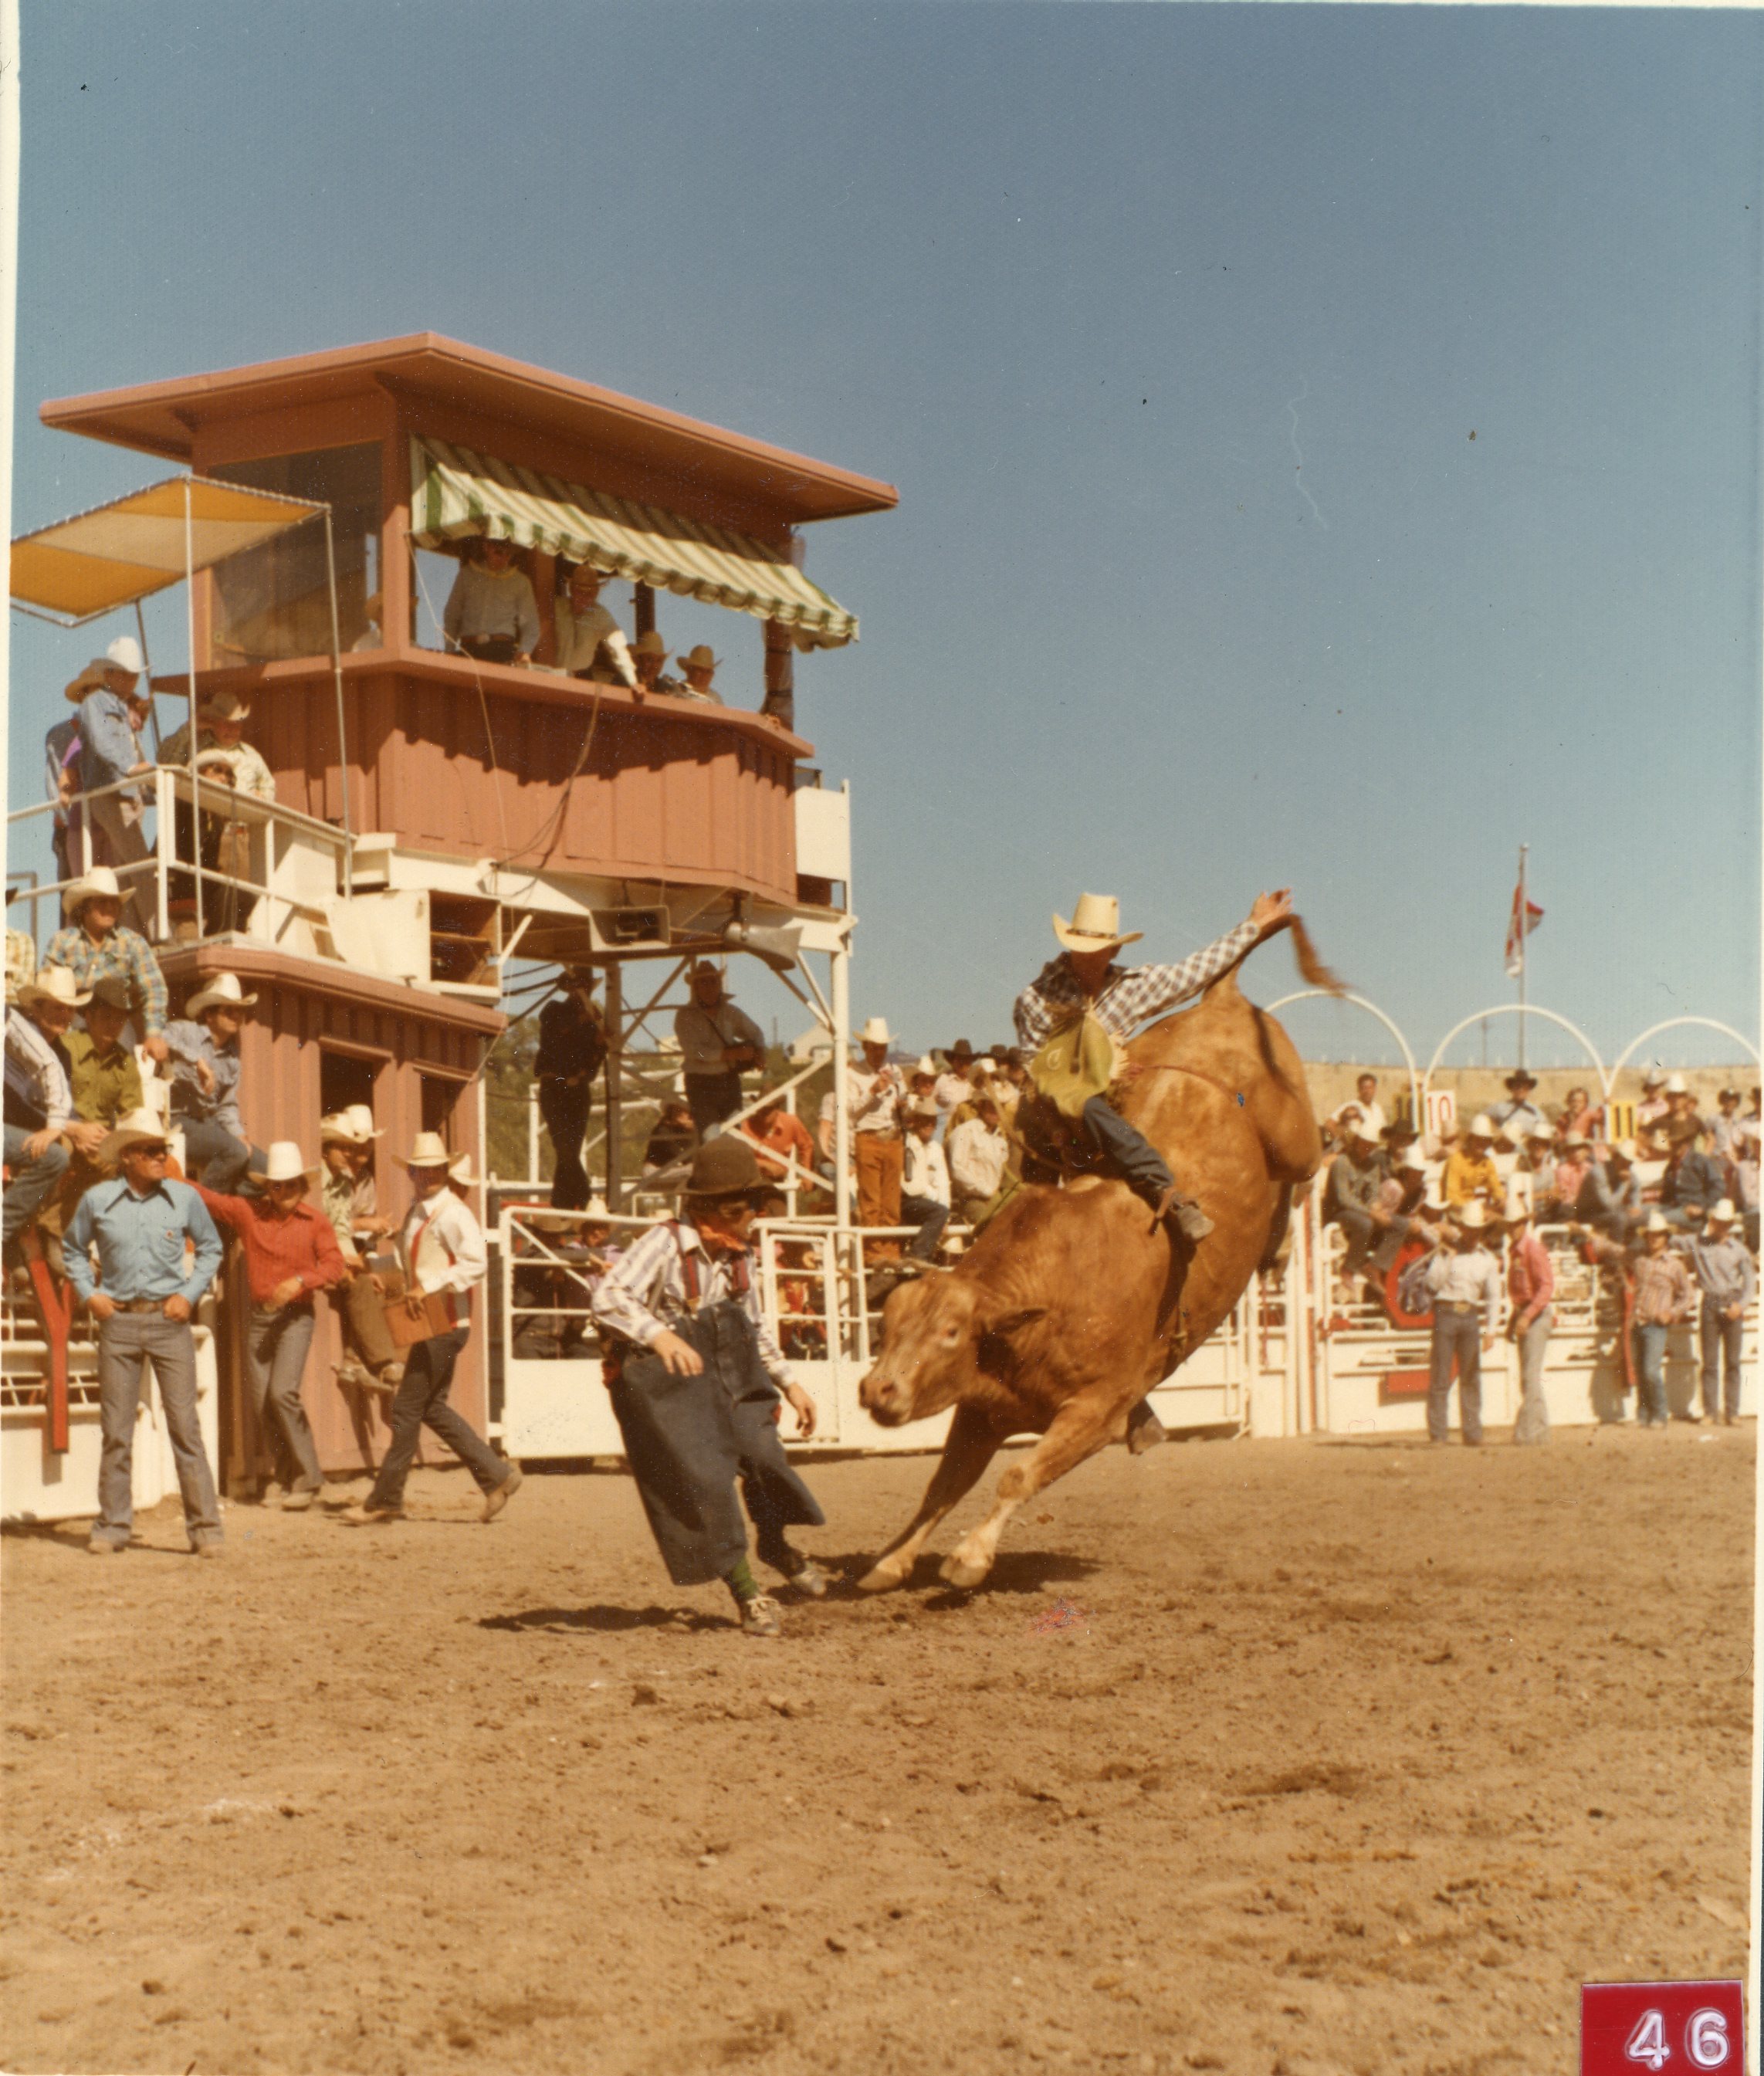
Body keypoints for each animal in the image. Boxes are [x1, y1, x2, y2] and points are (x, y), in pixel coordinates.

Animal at [856, 918, 1338, 1593]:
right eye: (889, 1324)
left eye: (950, 1332)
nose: (877, 1390)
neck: (1046, 1298)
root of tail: (1222, 998)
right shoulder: (979, 1410)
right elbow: (941, 1488)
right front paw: (890, 1561)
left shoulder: (1097, 1410)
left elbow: (1016, 1476)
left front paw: (968, 1557)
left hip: (1292, 1136)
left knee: (1311, 1161)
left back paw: (1278, 1245)